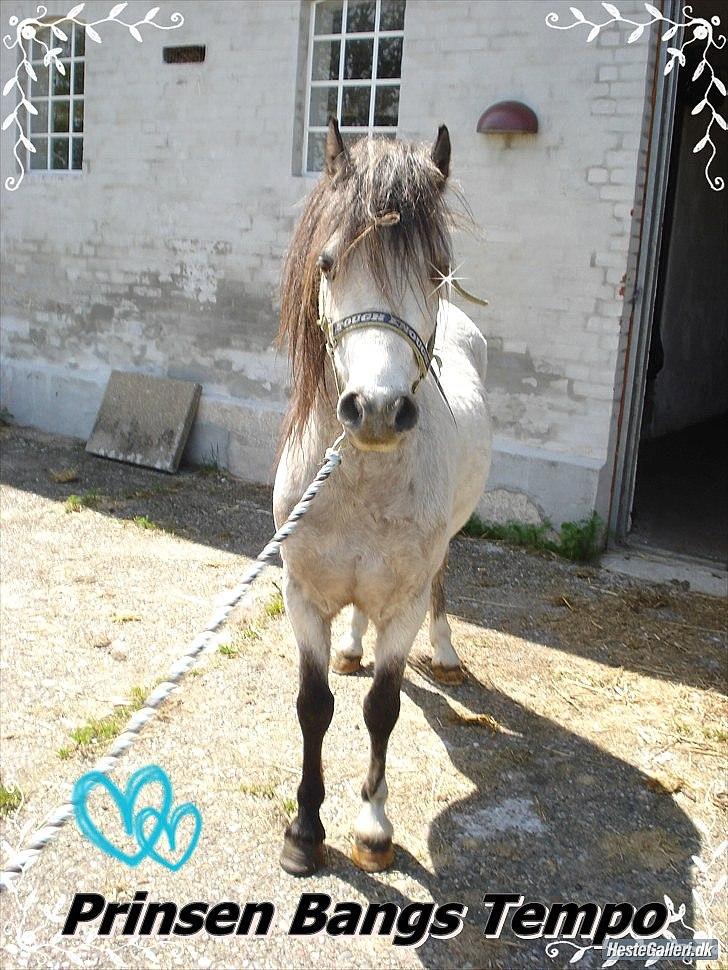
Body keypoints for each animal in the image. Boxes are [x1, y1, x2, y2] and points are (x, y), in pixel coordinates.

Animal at [273, 117, 492, 876]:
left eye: (436, 269)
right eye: (328, 263)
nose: (375, 410)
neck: (361, 484)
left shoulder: (401, 606)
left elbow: (381, 710)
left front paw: (371, 826)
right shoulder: (302, 596)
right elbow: (314, 706)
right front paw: (305, 831)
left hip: (446, 546)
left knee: (444, 581)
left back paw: (447, 654)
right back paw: (349, 646)